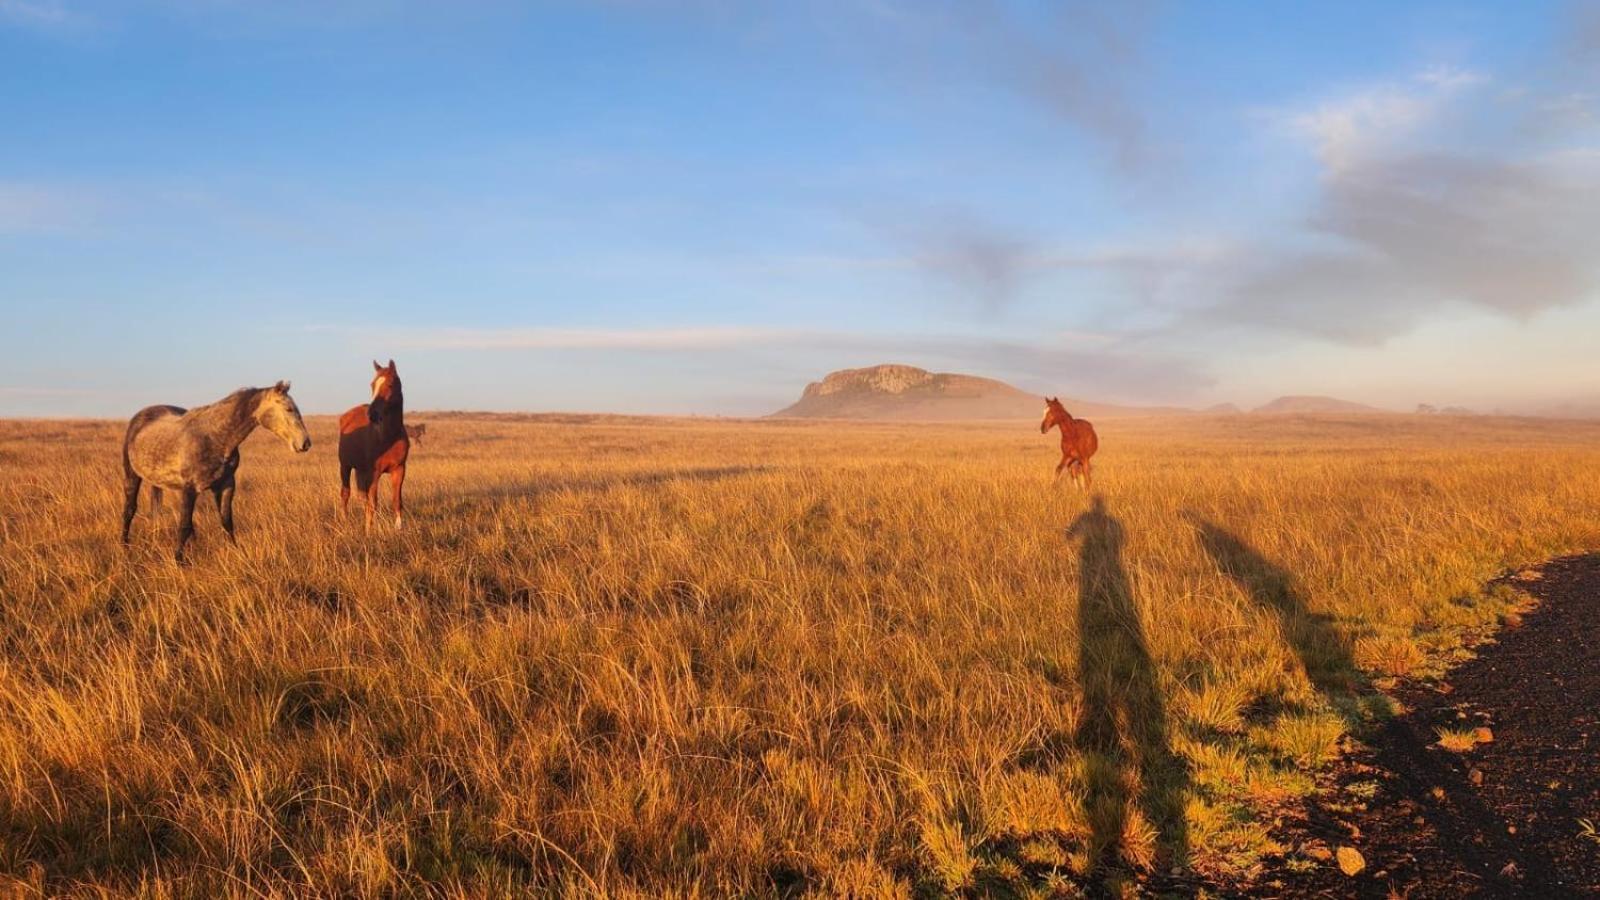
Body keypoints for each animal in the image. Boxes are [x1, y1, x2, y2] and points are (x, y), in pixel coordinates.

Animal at [121, 379, 312, 560]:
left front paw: (237, 553)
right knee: (129, 510)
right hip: (132, 476)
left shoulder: (226, 485)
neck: (216, 437)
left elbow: (226, 522)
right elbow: (184, 525)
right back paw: (125, 547)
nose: (305, 443)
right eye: (288, 409)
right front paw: (179, 561)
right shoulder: (190, 489)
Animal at [337, 357, 409, 525]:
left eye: (390, 384)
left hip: (360, 470)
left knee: (362, 497)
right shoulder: (374, 473)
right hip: (345, 466)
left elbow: (396, 501)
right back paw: (344, 520)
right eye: (372, 385)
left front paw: (399, 528)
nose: (372, 414)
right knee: (346, 493)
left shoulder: (399, 470)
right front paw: (370, 529)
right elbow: (373, 503)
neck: (388, 437)